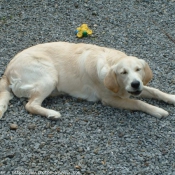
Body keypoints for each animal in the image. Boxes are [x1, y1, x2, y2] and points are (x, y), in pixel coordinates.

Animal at [0, 41, 174, 119]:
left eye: (138, 69)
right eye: (123, 72)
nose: (135, 83)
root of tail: (7, 70)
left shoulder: (133, 89)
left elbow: (156, 91)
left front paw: (171, 97)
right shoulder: (110, 99)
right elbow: (138, 102)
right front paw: (157, 110)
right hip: (49, 76)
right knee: (30, 105)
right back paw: (52, 113)